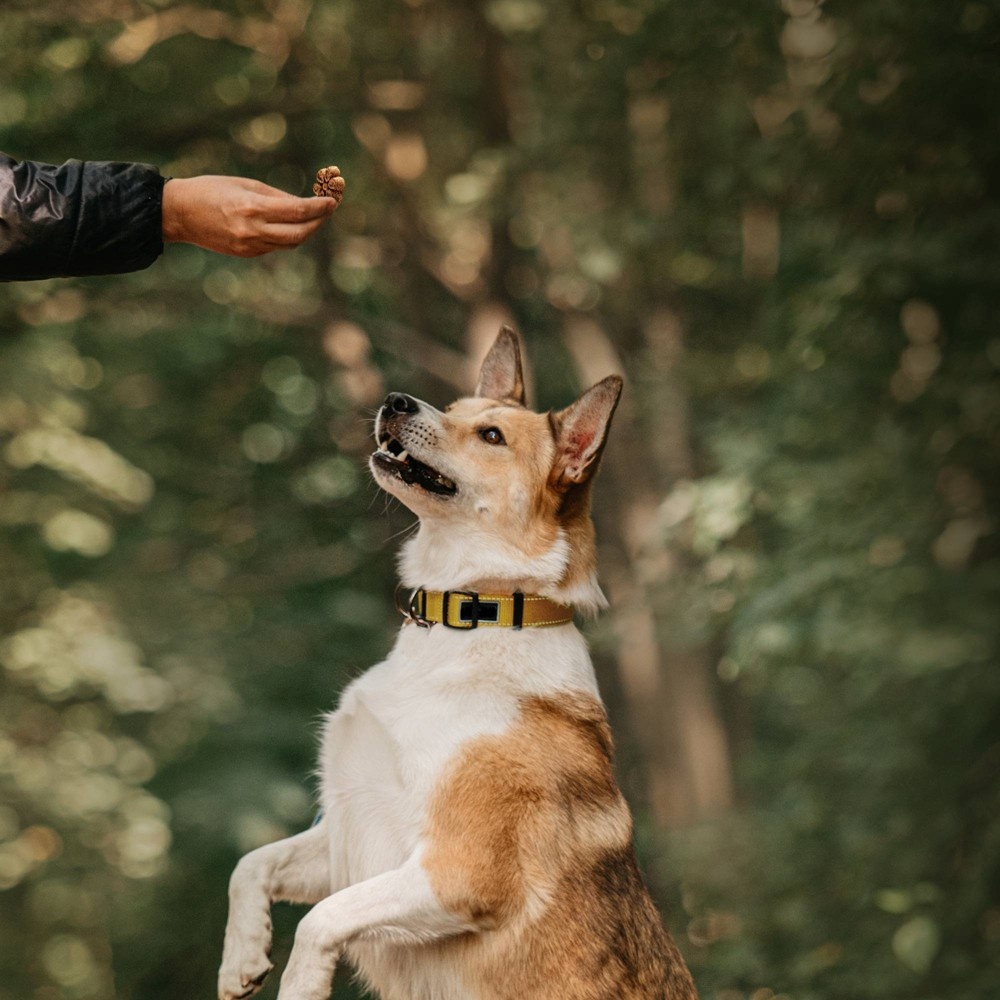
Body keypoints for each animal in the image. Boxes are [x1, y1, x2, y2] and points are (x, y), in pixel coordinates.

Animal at [218, 328, 696, 1000]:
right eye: (452, 408)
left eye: (491, 436)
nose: (395, 400)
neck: (477, 616)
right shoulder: (346, 832)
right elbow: (252, 863)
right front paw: (241, 958)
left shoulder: (457, 873)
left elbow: (319, 921)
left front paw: (300, 987)